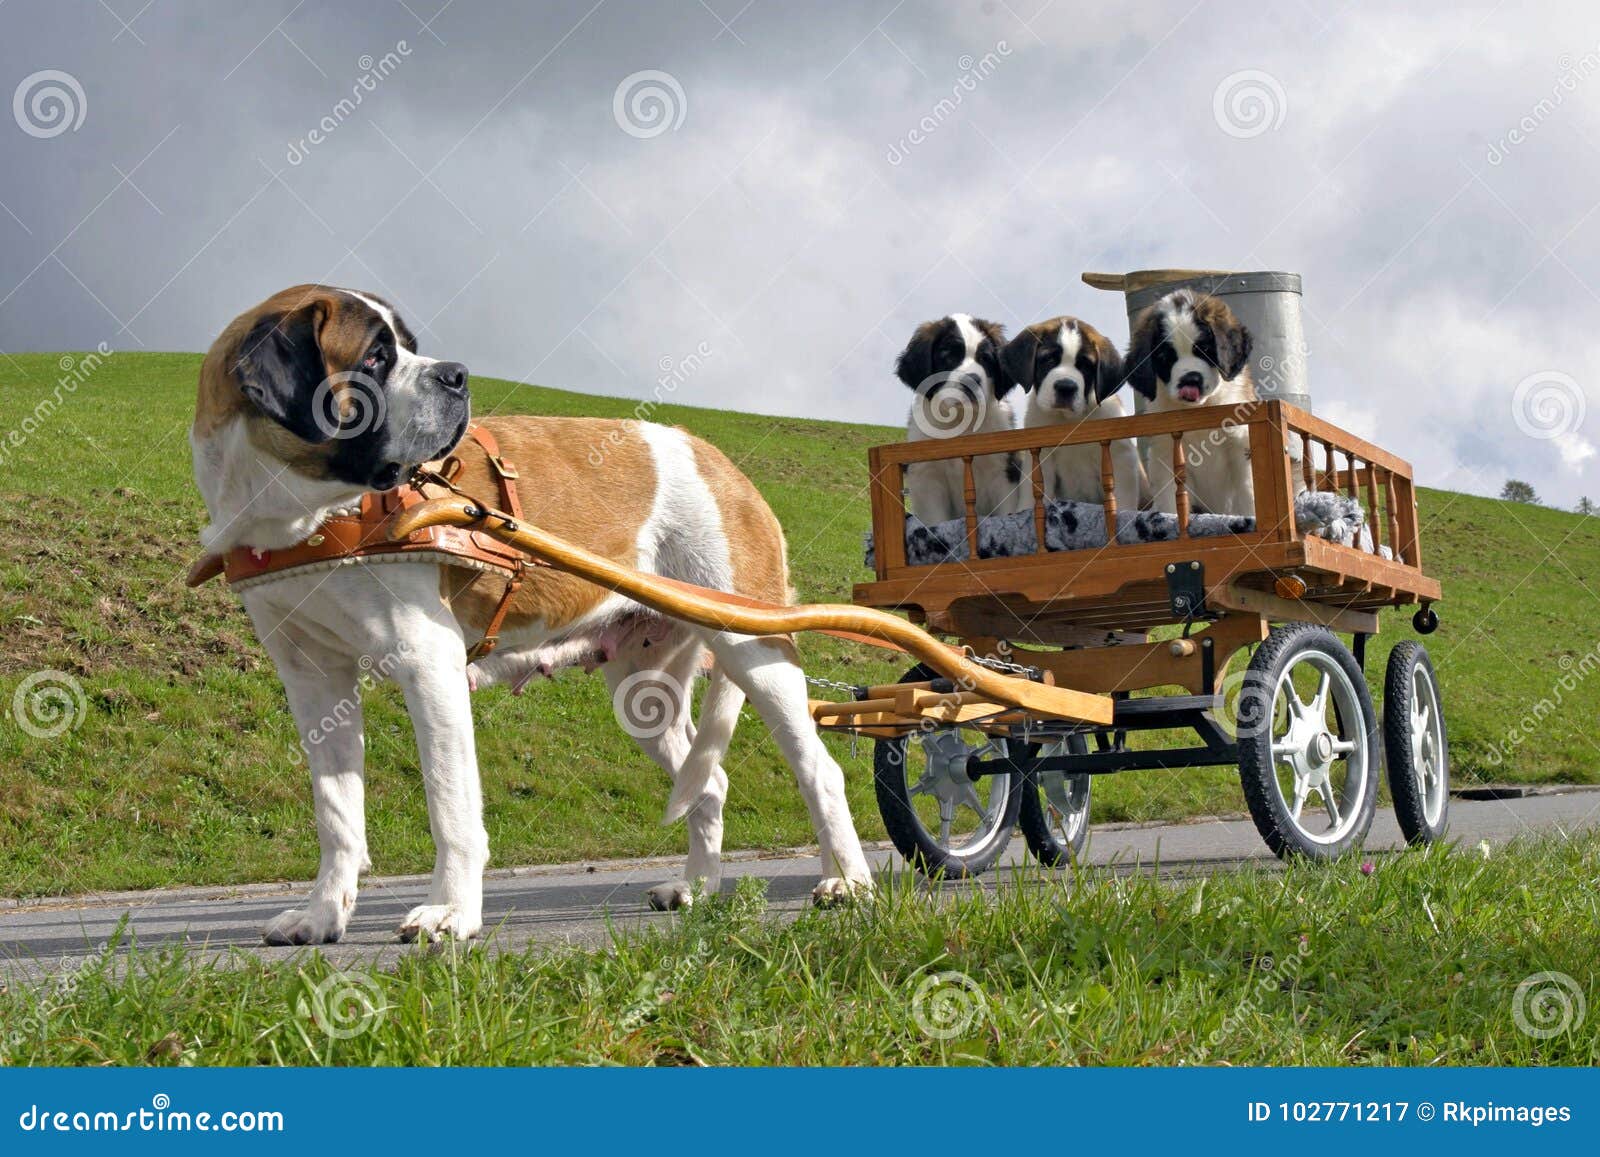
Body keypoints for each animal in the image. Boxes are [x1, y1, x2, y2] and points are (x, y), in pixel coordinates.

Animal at [198, 284, 876, 947]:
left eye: (404, 348)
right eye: (374, 358)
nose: (457, 375)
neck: (306, 517)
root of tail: (723, 463)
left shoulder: (430, 664)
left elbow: (449, 802)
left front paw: (450, 912)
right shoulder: (314, 683)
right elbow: (337, 810)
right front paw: (320, 916)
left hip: (756, 650)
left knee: (821, 771)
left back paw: (848, 883)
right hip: (643, 694)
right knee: (707, 783)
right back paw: (697, 889)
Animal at [902, 312, 1024, 521]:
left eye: (985, 359)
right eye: (949, 357)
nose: (971, 380)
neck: (962, 422)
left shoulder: (1003, 474)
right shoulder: (929, 481)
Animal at [1004, 316, 1145, 515]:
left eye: (1085, 366)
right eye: (1048, 359)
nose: (1066, 387)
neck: (1069, 420)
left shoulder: (1121, 456)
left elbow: (1121, 498)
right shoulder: (1040, 459)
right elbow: (1033, 495)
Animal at [1126, 291, 1260, 518]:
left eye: (1204, 349)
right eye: (1165, 357)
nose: (1190, 380)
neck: (1199, 410)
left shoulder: (1240, 445)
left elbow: (1249, 494)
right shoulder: (1165, 455)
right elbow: (1171, 502)